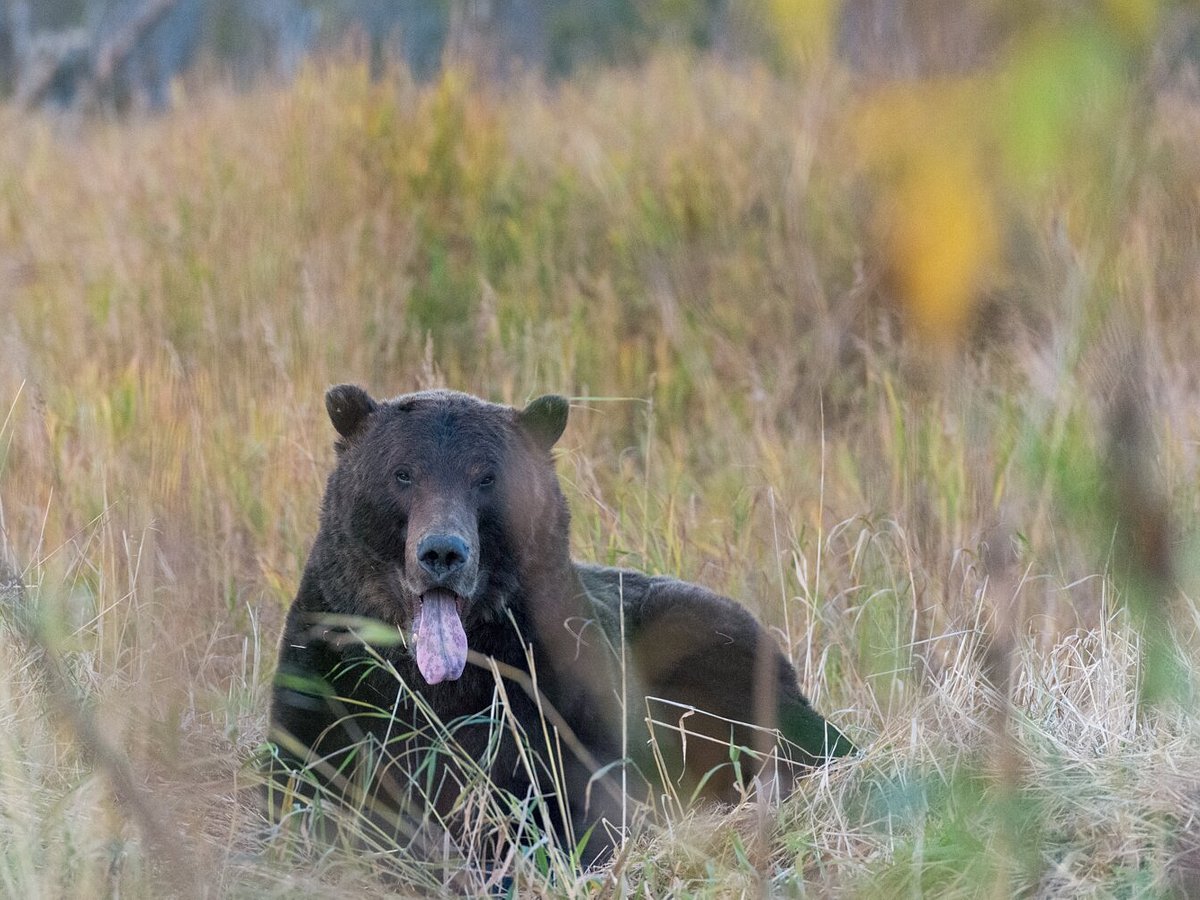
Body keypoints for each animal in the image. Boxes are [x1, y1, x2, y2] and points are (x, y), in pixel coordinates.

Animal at [268, 388, 859, 868]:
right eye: (403, 472)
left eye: (486, 477)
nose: (442, 552)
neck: (440, 675)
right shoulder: (326, 674)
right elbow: (310, 785)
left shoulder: (555, 688)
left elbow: (565, 801)